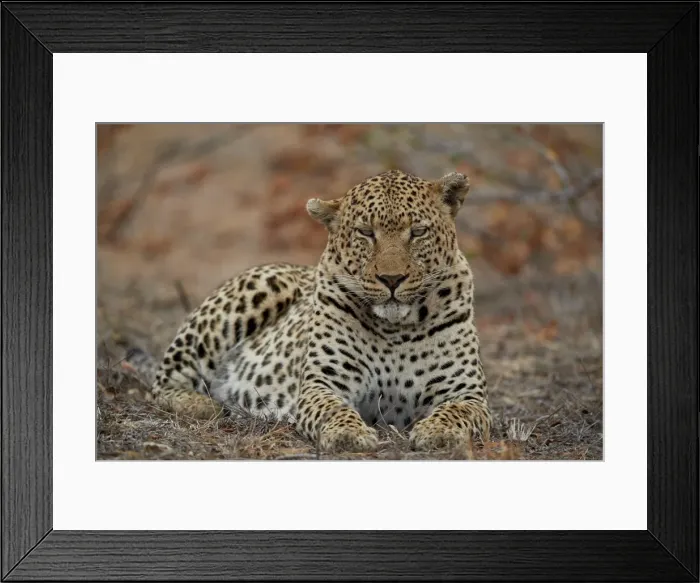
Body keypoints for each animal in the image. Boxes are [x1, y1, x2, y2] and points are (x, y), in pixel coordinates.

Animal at [125, 169, 491, 452]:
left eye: (418, 232)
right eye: (365, 233)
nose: (391, 279)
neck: (396, 329)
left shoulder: (467, 393)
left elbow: (456, 412)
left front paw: (438, 432)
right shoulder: (322, 384)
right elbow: (333, 411)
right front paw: (349, 434)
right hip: (251, 295)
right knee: (164, 382)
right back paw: (205, 404)